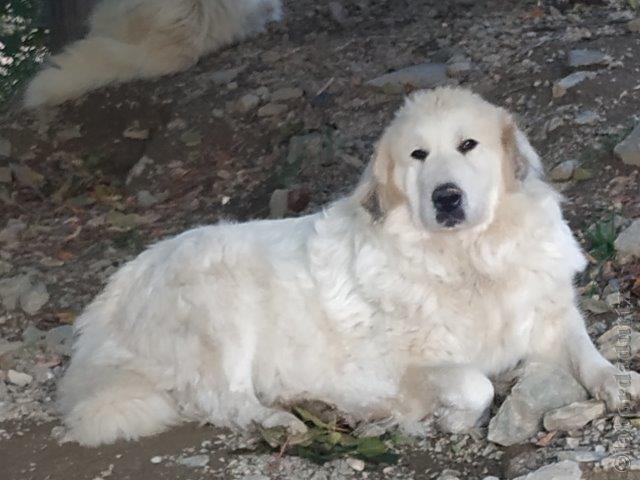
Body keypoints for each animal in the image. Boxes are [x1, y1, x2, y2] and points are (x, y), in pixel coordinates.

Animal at [57, 87, 636, 446]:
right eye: (418, 155)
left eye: (468, 145)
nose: (446, 197)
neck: (467, 257)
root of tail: (115, 291)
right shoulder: (396, 366)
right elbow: (477, 384)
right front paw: (446, 418)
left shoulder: (550, 315)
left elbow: (587, 353)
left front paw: (615, 383)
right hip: (223, 303)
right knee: (223, 400)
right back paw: (282, 419)